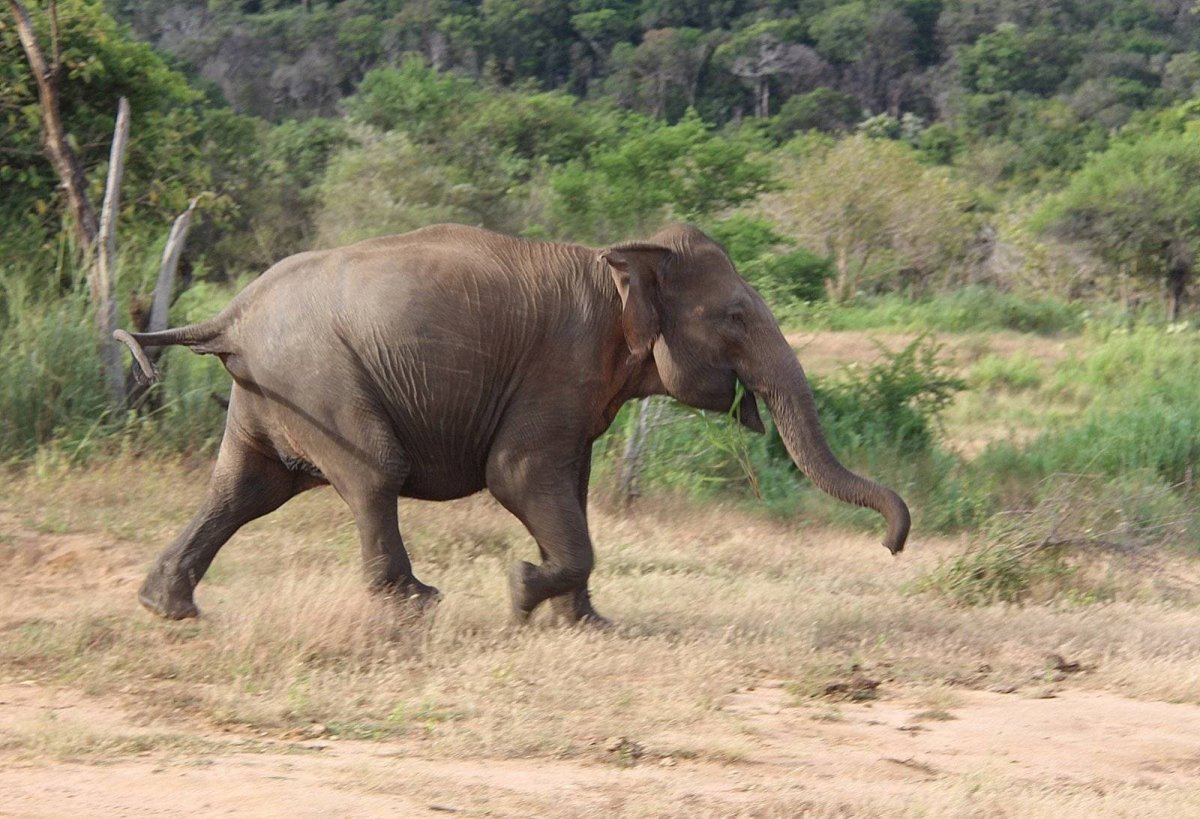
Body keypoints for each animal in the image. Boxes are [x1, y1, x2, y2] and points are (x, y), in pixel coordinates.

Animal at [115, 223, 910, 625]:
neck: (619, 257)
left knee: (244, 488)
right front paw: (522, 591)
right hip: (318, 376)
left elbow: (569, 488)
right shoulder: (561, 363)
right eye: (737, 317)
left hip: (274, 387)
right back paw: (418, 605)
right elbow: (520, 476)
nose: (893, 544)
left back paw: (168, 608)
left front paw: (585, 625)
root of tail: (231, 315)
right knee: (373, 471)